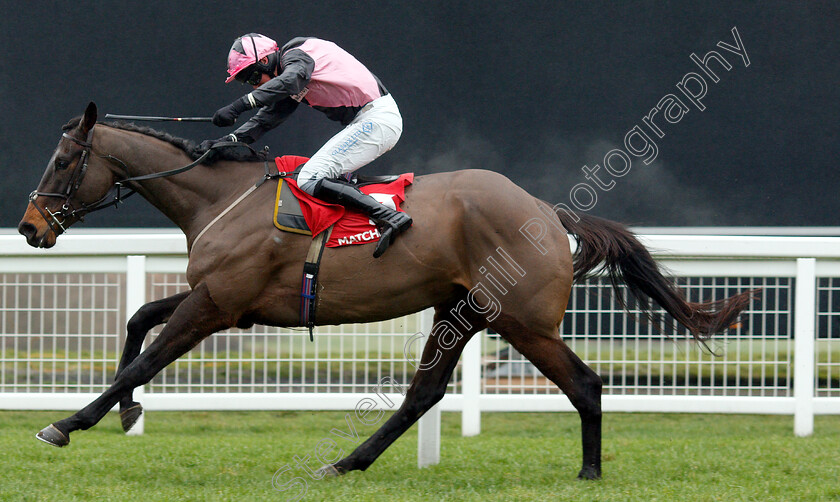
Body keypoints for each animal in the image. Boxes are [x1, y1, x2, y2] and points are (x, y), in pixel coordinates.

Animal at [18, 101, 756, 478]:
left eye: (62, 160)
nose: (29, 227)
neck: (221, 197)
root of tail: (548, 213)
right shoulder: (227, 302)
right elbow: (140, 317)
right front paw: (125, 413)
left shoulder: (217, 304)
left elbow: (143, 358)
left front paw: (67, 423)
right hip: (460, 312)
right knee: (422, 395)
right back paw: (348, 462)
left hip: (522, 322)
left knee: (585, 383)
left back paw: (590, 473)